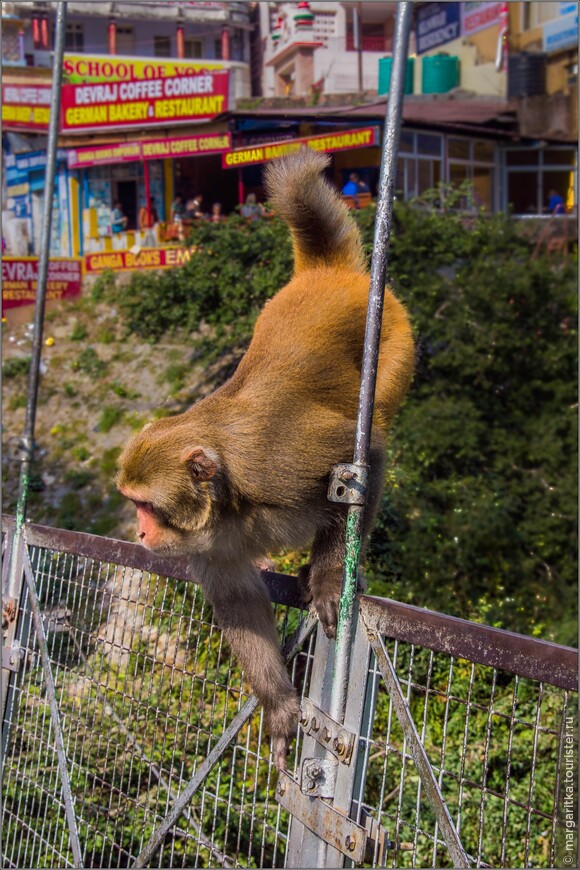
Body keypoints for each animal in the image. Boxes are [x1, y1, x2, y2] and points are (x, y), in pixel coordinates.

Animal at [115, 152, 414, 768]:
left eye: (145, 505)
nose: (139, 532)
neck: (230, 499)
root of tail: (323, 274)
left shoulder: (273, 461)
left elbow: (364, 462)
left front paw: (328, 578)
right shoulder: (209, 543)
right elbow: (237, 602)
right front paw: (277, 704)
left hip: (394, 342)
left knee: (371, 429)